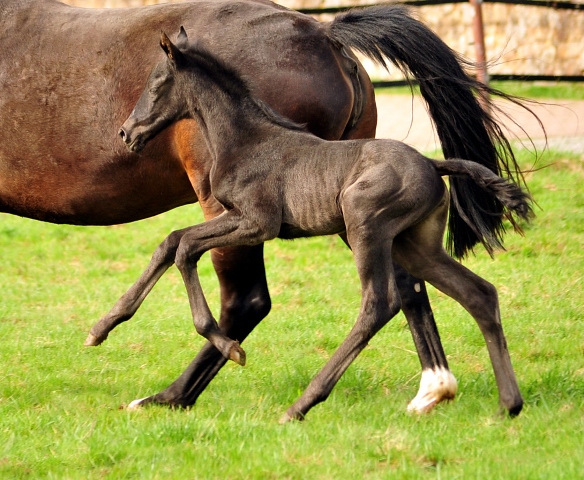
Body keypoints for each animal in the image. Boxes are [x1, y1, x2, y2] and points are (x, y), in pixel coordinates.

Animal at [1, 0, 524, 412]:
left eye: (156, 83)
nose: (126, 133)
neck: (251, 136)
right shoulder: (238, 220)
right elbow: (172, 243)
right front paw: (102, 327)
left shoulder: (254, 222)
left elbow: (184, 249)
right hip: (405, 238)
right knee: (458, 290)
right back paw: (463, 396)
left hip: (358, 228)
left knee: (357, 301)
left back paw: (236, 397)